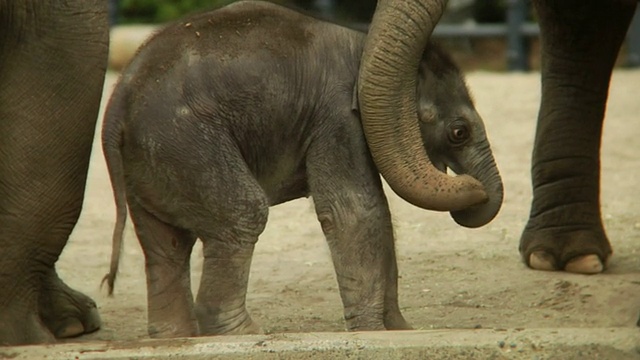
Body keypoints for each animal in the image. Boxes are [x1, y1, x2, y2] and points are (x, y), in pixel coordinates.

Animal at [102, 0, 502, 338]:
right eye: (459, 133)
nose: (475, 189)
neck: (365, 48)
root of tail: (117, 105)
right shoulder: (335, 119)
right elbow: (355, 211)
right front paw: (375, 332)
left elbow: (378, 212)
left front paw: (400, 332)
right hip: (185, 144)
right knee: (243, 213)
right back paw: (245, 335)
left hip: (152, 162)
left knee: (165, 245)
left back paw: (179, 337)